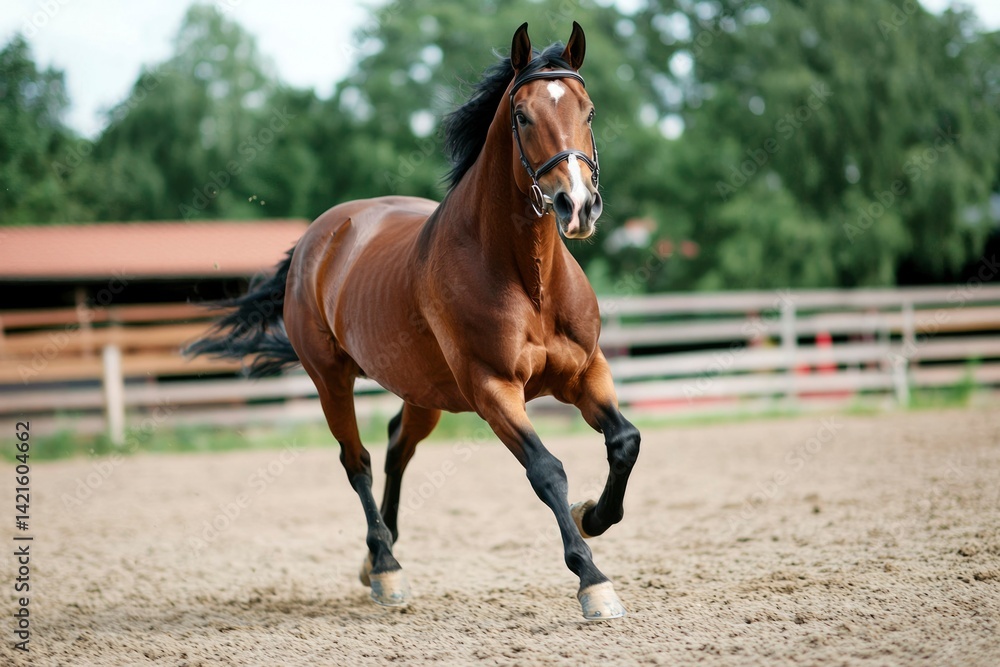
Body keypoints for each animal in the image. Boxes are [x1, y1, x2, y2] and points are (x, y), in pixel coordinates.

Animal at [187, 21, 640, 620]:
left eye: (588, 112)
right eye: (522, 116)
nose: (578, 205)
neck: (529, 280)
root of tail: (319, 237)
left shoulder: (587, 372)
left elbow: (624, 441)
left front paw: (592, 515)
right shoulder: (494, 390)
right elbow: (547, 470)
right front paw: (592, 579)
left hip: (424, 392)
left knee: (398, 445)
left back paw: (377, 554)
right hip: (332, 379)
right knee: (356, 460)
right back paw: (385, 568)